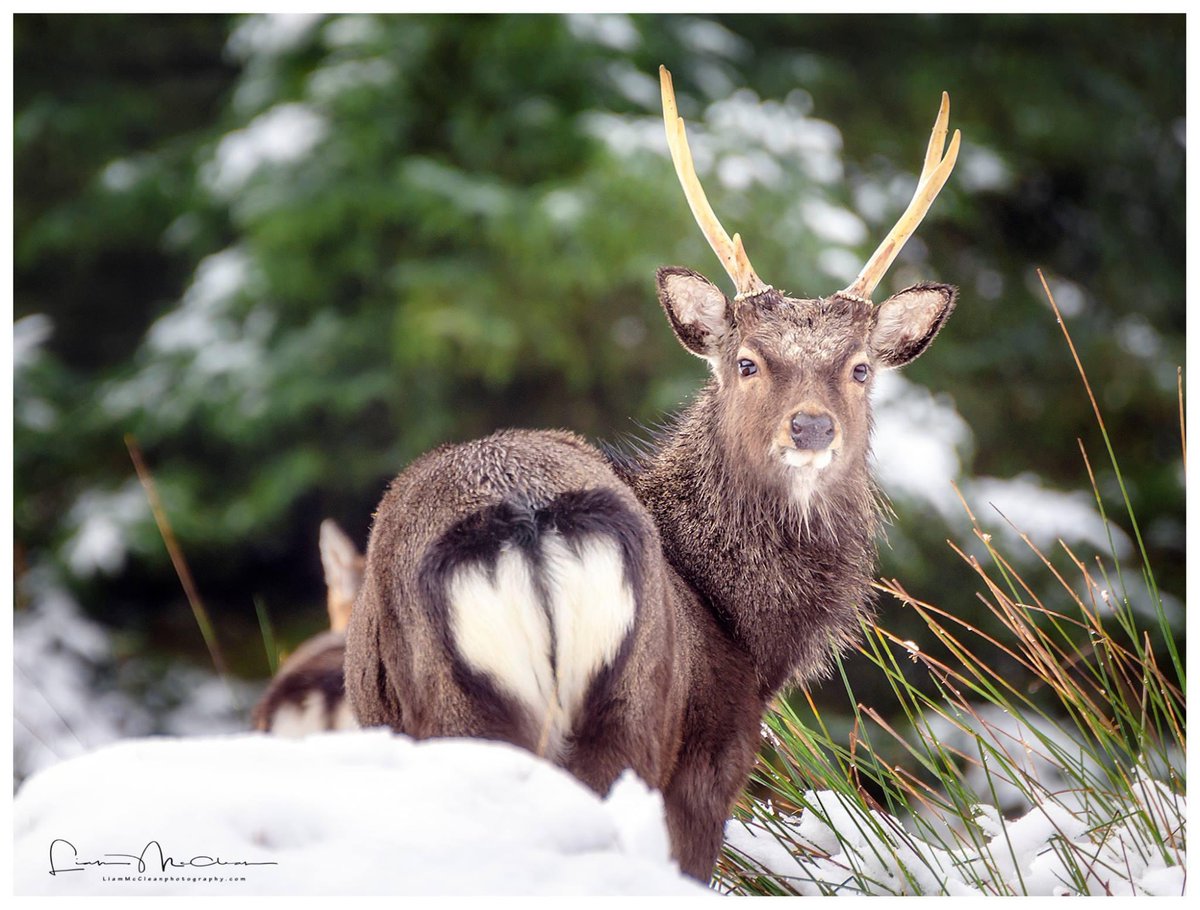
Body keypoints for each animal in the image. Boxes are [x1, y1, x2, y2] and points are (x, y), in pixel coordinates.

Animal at [344, 66, 960, 882]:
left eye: (860, 369)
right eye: (746, 362)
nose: (811, 426)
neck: (749, 632)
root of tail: (527, 523)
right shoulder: (717, 750)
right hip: (591, 717)